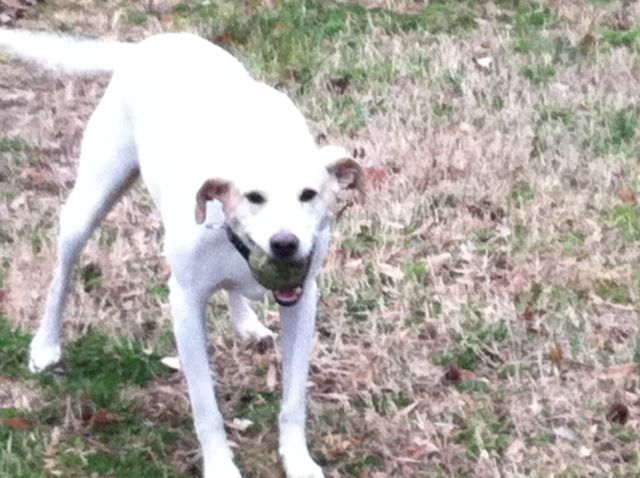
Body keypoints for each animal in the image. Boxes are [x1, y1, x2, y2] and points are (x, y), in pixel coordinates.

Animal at [0, 29, 360, 478]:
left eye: (309, 195)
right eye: (254, 197)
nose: (285, 243)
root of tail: (149, 44)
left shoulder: (303, 300)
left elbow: (293, 400)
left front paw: (297, 460)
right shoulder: (185, 305)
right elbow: (206, 406)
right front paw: (221, 466)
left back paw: (246, 322)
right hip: (88, 205)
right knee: (61, 275)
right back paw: (46, 346)